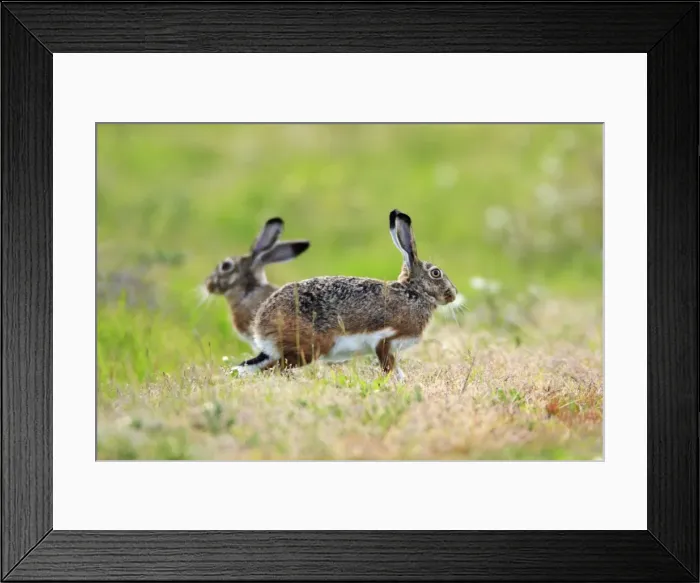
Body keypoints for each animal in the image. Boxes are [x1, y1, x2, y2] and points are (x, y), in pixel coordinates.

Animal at [232, 209, 458, 380]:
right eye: (436, 273)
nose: (453, 295)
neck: (414, 293)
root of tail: (261, 324)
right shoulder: (385, 340)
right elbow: (388, 367)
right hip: (307, 349)